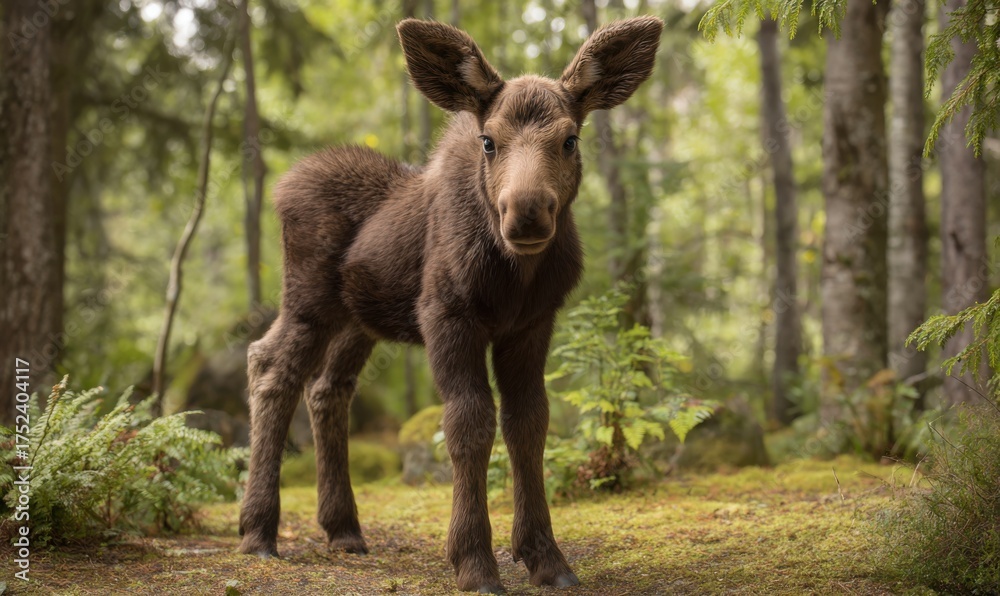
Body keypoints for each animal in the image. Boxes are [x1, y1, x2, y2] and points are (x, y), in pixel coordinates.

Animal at [237, 16, 663, 593]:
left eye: (570, 139)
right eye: (489, 140)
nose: (526, 212)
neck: (514, 276)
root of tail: (283, 186)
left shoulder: (532, 325)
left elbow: (529, 422)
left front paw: (545, 557)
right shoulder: (447, 315)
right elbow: (468, 422)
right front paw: (474, 561)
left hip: (358, 320)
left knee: (327, 389)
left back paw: (343, 529)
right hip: (307, 299)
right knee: (270, 366)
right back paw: (258, 531)